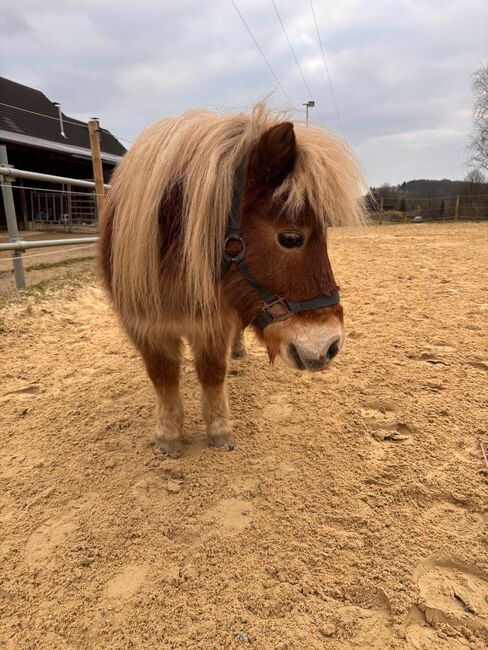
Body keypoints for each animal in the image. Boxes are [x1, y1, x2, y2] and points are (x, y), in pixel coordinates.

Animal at [98, 104, 365, 457]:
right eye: (290, 238)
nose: (331, 346)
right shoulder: (144, 326)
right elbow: (163, 378)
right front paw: (168, 436)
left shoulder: (213, 323)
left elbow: (212, 373)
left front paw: (219, 431)